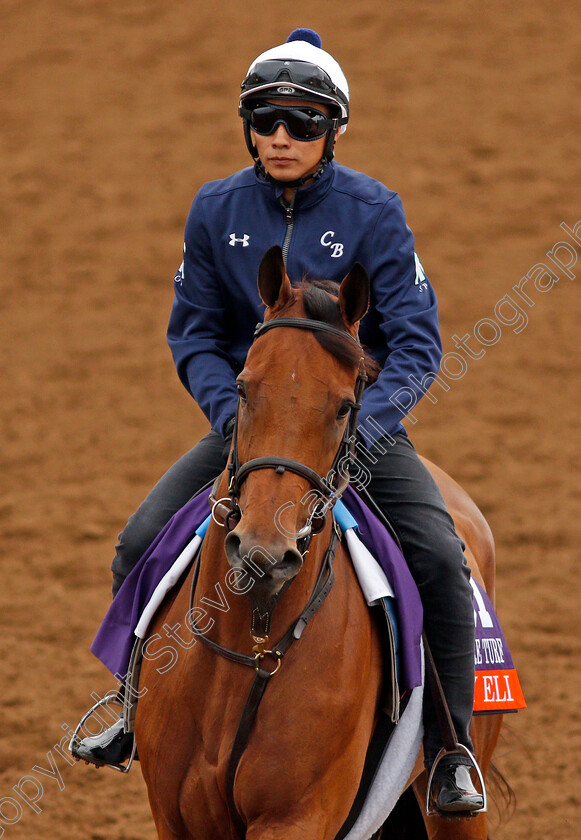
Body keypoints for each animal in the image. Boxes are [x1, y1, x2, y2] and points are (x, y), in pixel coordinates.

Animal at [136, 244, 502, 840]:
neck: (249, 649)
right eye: (243, 387)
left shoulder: (296, 818)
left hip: (457, 798)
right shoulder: (177, 817)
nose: (263, 553)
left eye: (343, 406)